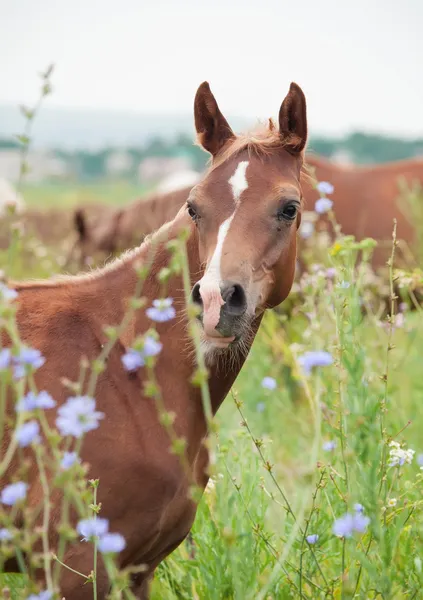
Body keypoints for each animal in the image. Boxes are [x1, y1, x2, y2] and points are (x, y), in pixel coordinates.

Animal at [2, 81, 308, 600]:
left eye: (289, 208)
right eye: (193, 206)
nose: (215, 301)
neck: (123, 367)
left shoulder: (136, 570)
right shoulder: (70, 570)